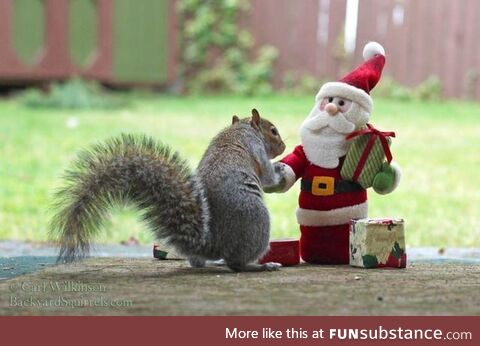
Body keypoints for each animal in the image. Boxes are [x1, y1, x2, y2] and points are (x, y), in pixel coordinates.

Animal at [50, 109, 286, 272]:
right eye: (273, 131)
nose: (284, 146)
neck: (240, 129)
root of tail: (211, 243)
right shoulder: (257, 150)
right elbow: (267, 177)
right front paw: (280, 170)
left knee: (203, 263)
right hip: (257, 221)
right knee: (236, 264)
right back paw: (263, 266)